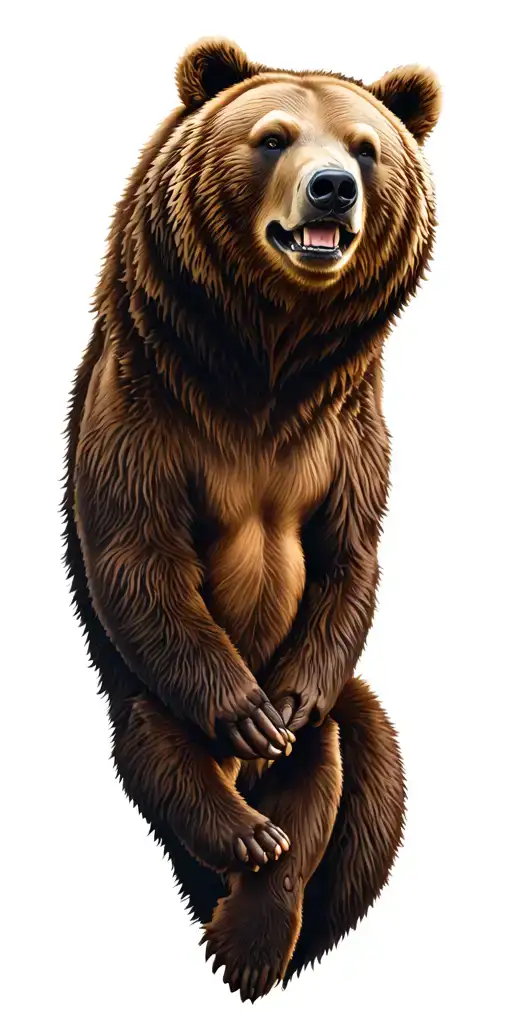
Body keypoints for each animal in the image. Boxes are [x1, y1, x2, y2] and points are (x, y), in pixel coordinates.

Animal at [62, 37, 440, 1002]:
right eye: (274, 137)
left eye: (366, 148)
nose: (333, 189)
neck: (265, 372)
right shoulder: (148, 405)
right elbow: (137, 550)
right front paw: (245, 713)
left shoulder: (346, 431)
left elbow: (349, 555)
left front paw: (284, 706)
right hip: (141, 686)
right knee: (160, 746)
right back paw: (240, 834)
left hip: (348, 712)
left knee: (334, 768)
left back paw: (259, 916)